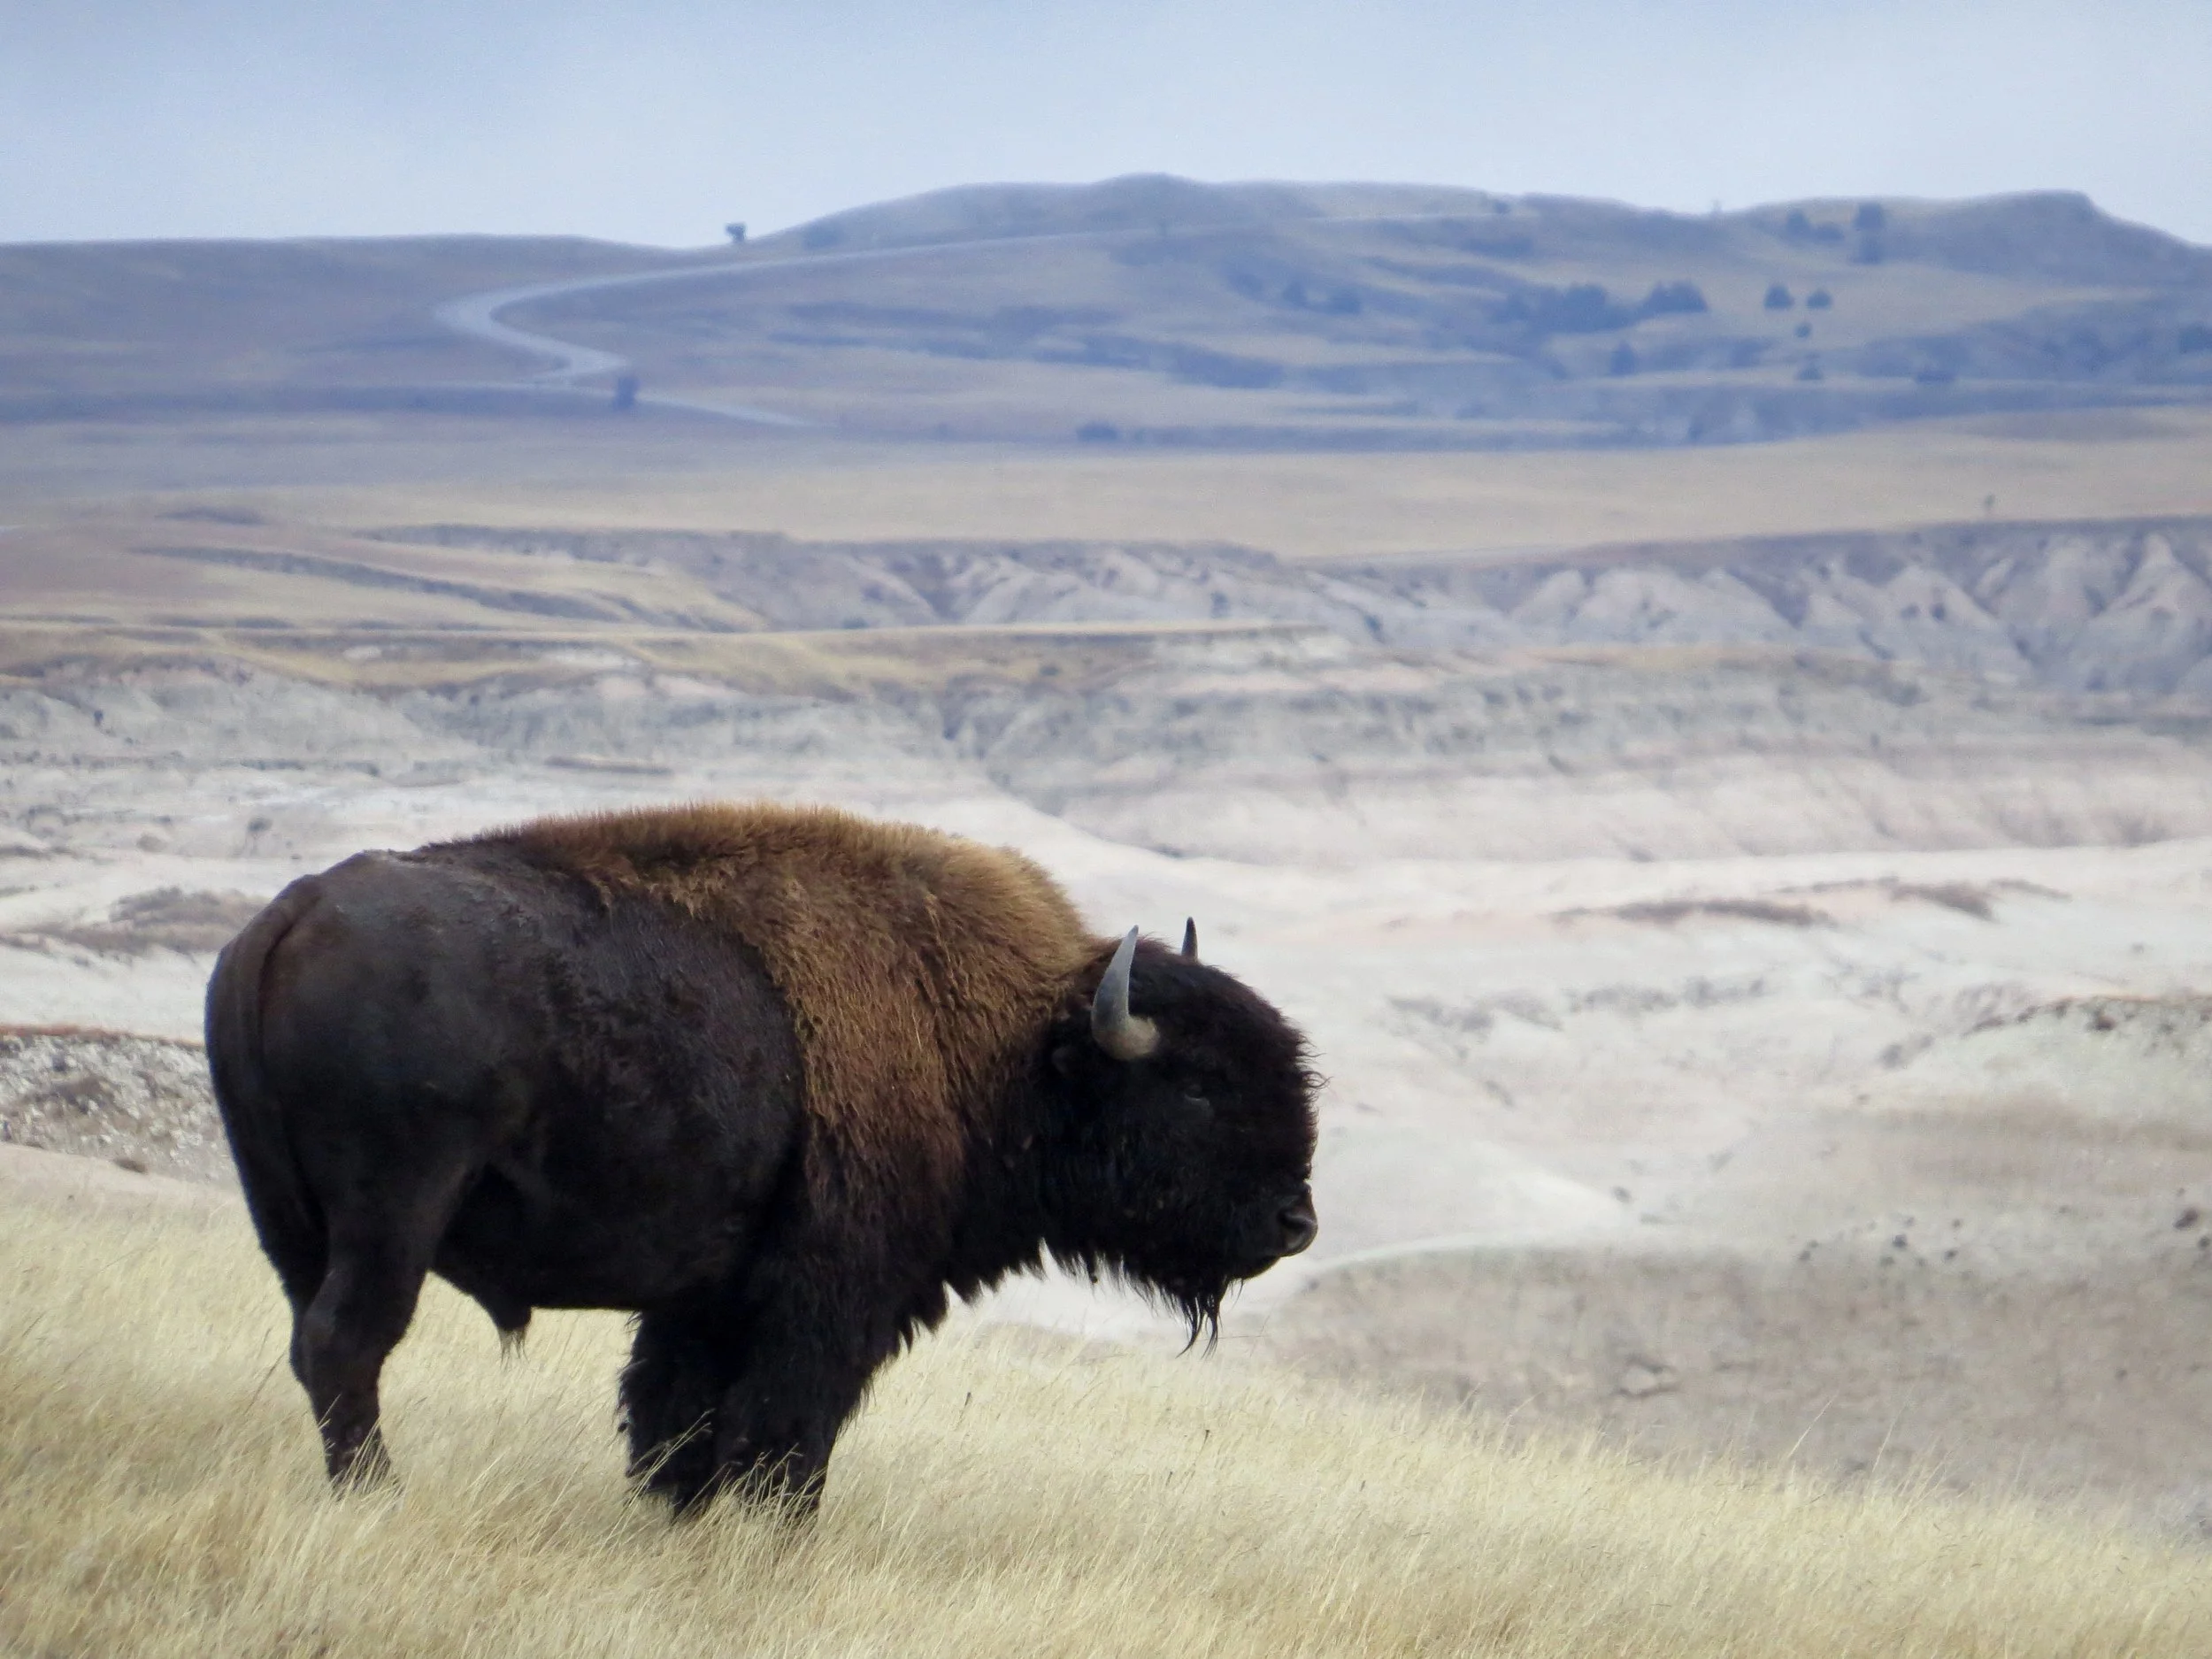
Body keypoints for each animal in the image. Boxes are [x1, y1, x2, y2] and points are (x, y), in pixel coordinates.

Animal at [204, 803, 1319, 1514]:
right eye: (1198, 1086)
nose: (1295, 1222)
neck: (1006, 1043)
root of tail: (287, 919)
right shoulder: (827, 1296)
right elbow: (785, 1424)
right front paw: (770, 1527)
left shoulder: (707, 1298)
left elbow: (675, 1416)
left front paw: (672, 1514)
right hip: (393, 1213)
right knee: (349, 1343)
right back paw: (379, 1497)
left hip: (286, 1221)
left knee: (314, 1341)